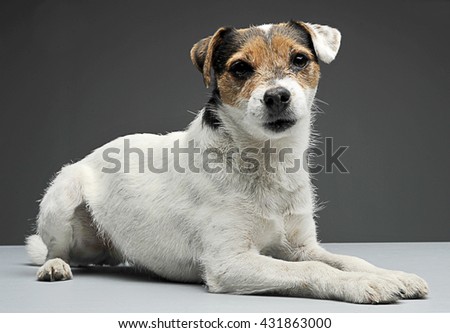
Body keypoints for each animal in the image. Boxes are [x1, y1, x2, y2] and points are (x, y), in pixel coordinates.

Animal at [26, 19, 428, 302]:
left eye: (300, 59)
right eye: (240, 68)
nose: (277, 96)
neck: (265, 159)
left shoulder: (301, 247)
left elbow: (347, 260)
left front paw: (390, 275)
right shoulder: (230, 262)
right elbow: (317, 270)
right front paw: (362, 285)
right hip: (63, 197)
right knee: (51, 251)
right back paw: (54, 265)